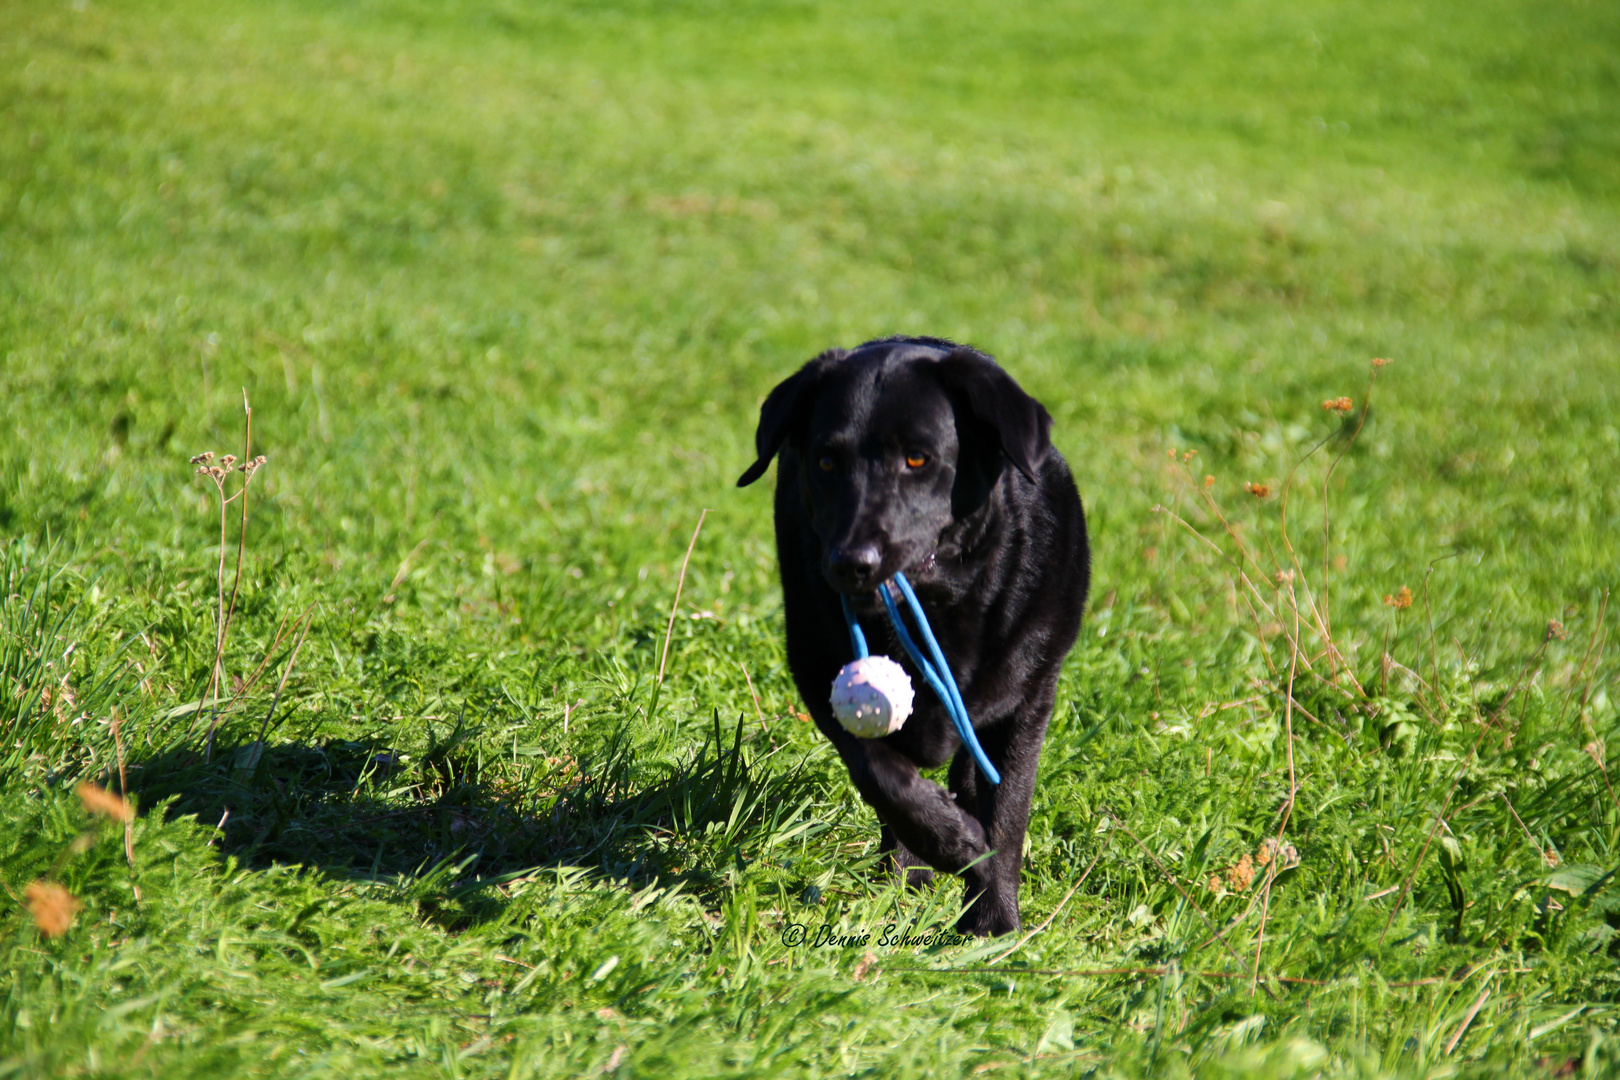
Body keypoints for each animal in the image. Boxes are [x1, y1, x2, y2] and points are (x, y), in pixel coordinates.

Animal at [738, 333, 1088, 932]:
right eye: (825, 461)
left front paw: (994, 921)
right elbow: (881, 776)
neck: (939, 607)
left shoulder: (1028, 698)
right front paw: (949, 843)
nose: (850, 563)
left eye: (918, 458)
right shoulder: (817, 672)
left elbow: (1008, 811)